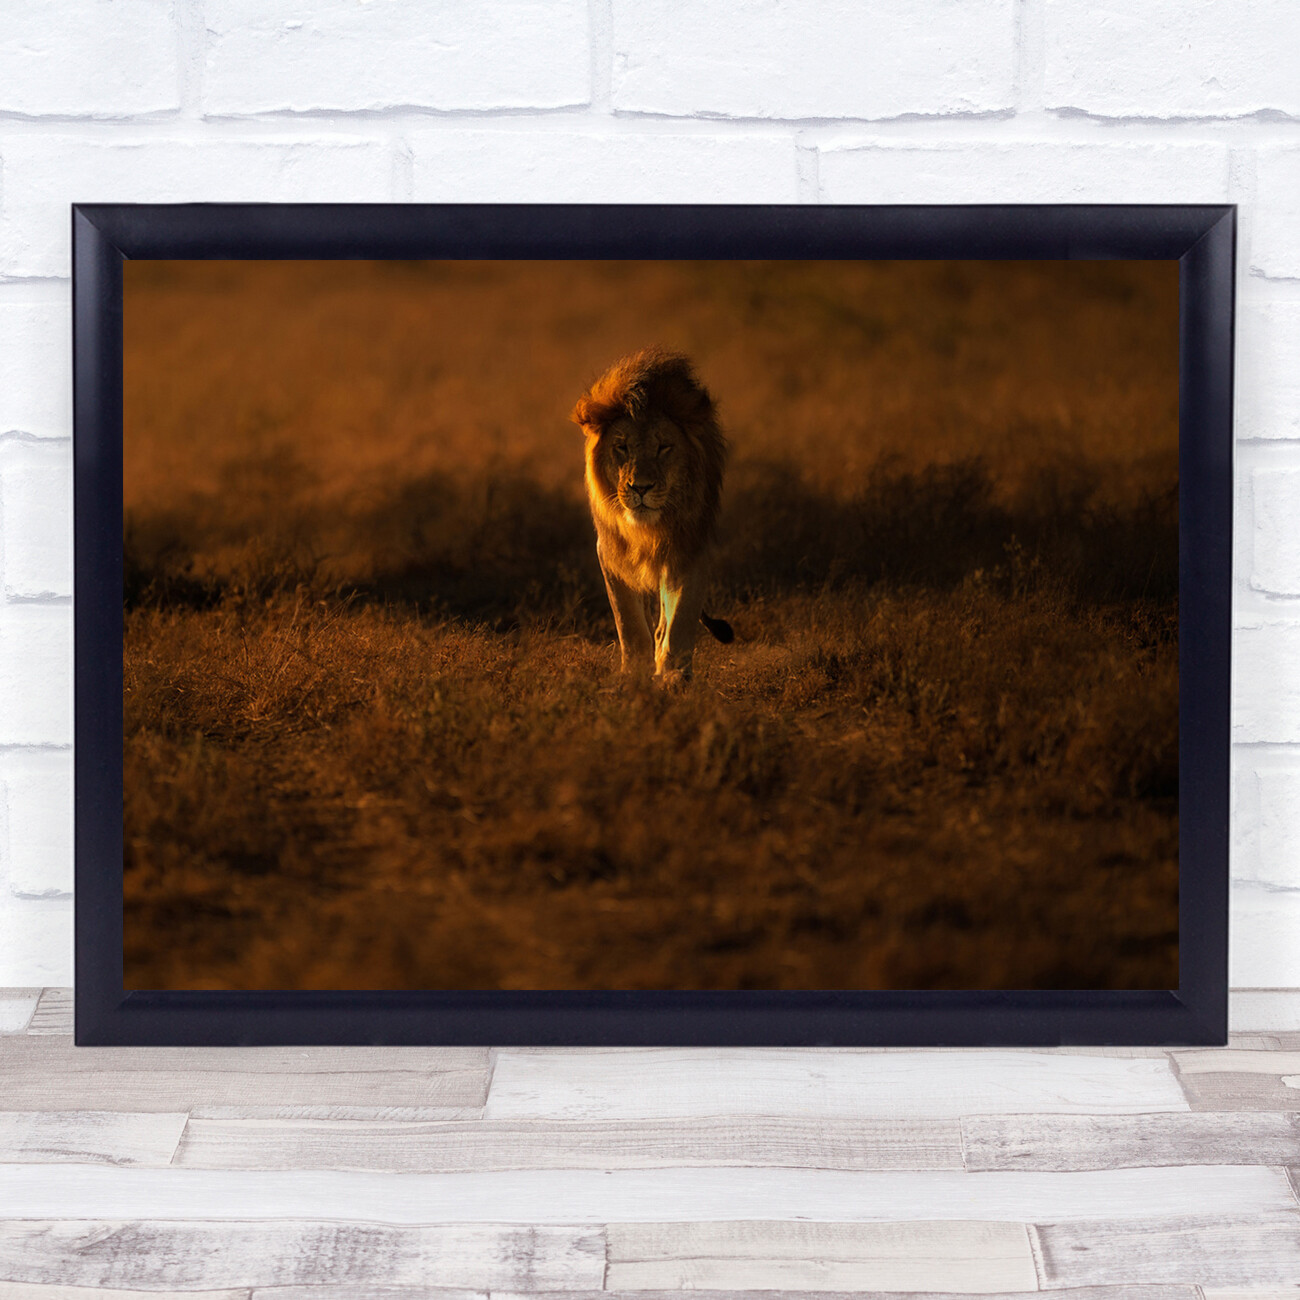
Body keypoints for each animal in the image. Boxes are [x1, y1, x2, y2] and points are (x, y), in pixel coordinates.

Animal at [571, 348, 732, 684]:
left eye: (664, 447)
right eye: (621, 447)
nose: (640, 487)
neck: (647, 528)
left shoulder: (690, 547)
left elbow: (681, 616)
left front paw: (675, 676)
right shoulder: (610, 553)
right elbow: (629, 622)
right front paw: (634, 673)